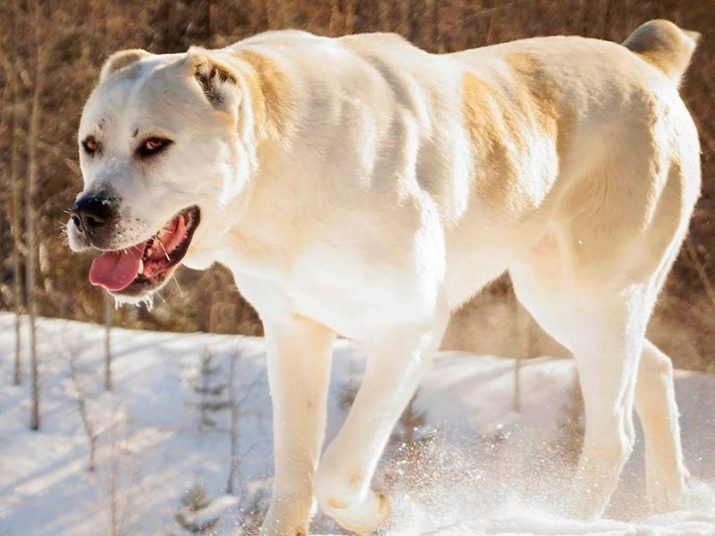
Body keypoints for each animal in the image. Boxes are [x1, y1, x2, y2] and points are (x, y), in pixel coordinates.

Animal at [70, 18, 704, 532]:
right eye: (90, 144)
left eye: (154, 144)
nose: (88, 211)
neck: (279, 175)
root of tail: (645, 63)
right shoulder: (295, 331)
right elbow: (295, 472)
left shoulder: (411, 326)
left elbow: (336, 471)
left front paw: (377, 510)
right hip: (564, 300)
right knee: (655, 369)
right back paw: (669, 504)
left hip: (594, 295)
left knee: (613, 431)